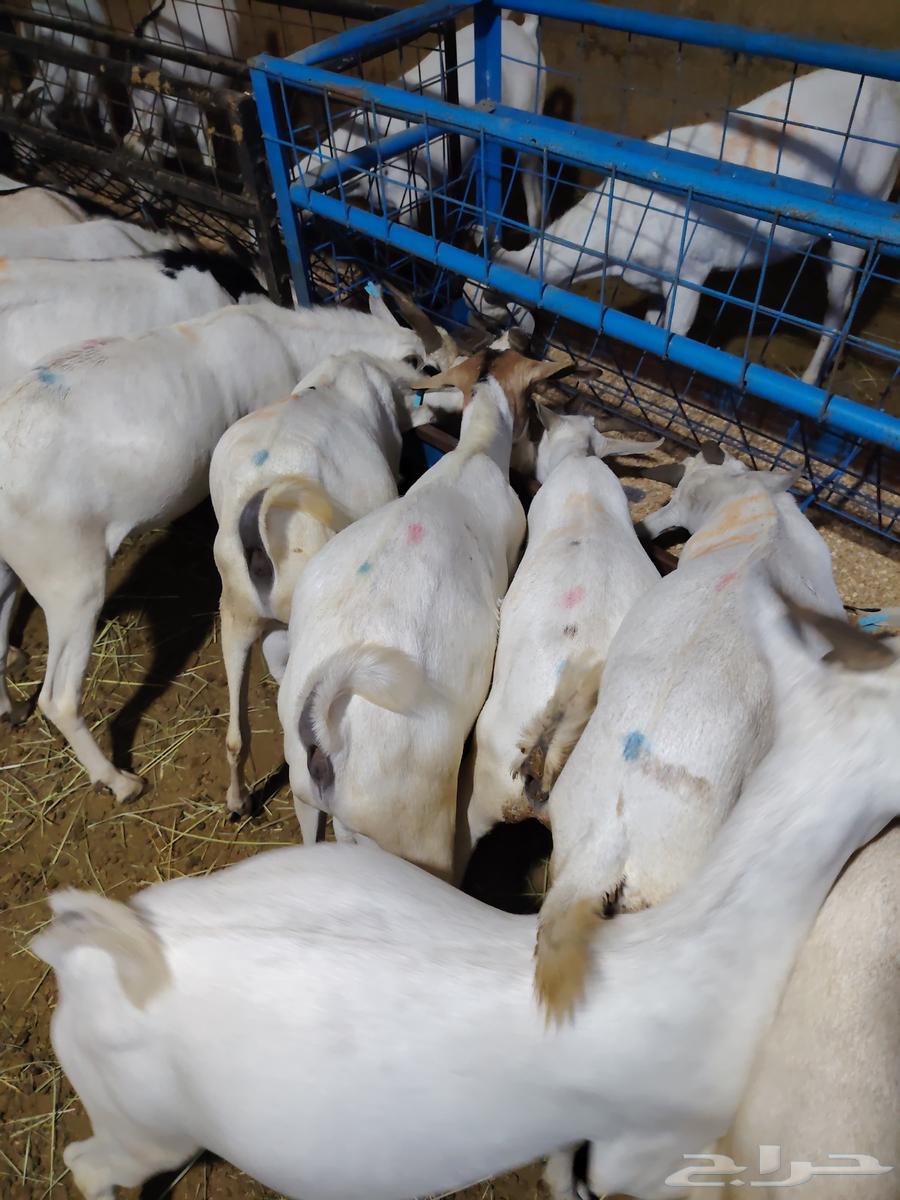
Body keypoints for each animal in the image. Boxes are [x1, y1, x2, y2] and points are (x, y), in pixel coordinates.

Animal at [467, 71, 900, 384]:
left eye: (492, 316)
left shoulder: (691, 274)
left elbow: (672, 337)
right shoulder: (655, 281)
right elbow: (648, 325)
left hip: (856, 235)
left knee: (837, 313)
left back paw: (811, 377)